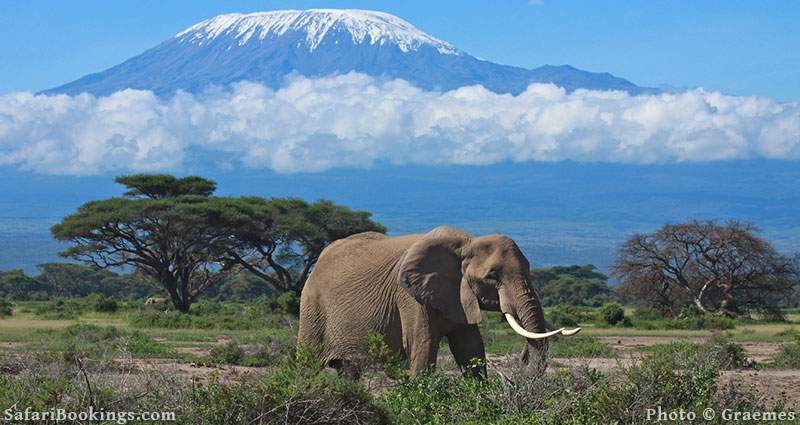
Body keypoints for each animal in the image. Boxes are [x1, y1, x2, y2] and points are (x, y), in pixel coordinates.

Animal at [296, 225, 580, 378]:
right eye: (493, 275)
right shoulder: (409, 297)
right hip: (311, 306)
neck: (466, 242)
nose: (522, 358)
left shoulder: (458, 295)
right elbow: (422, 348)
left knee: (348, 372)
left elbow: (471, 349)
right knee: (307, 364)